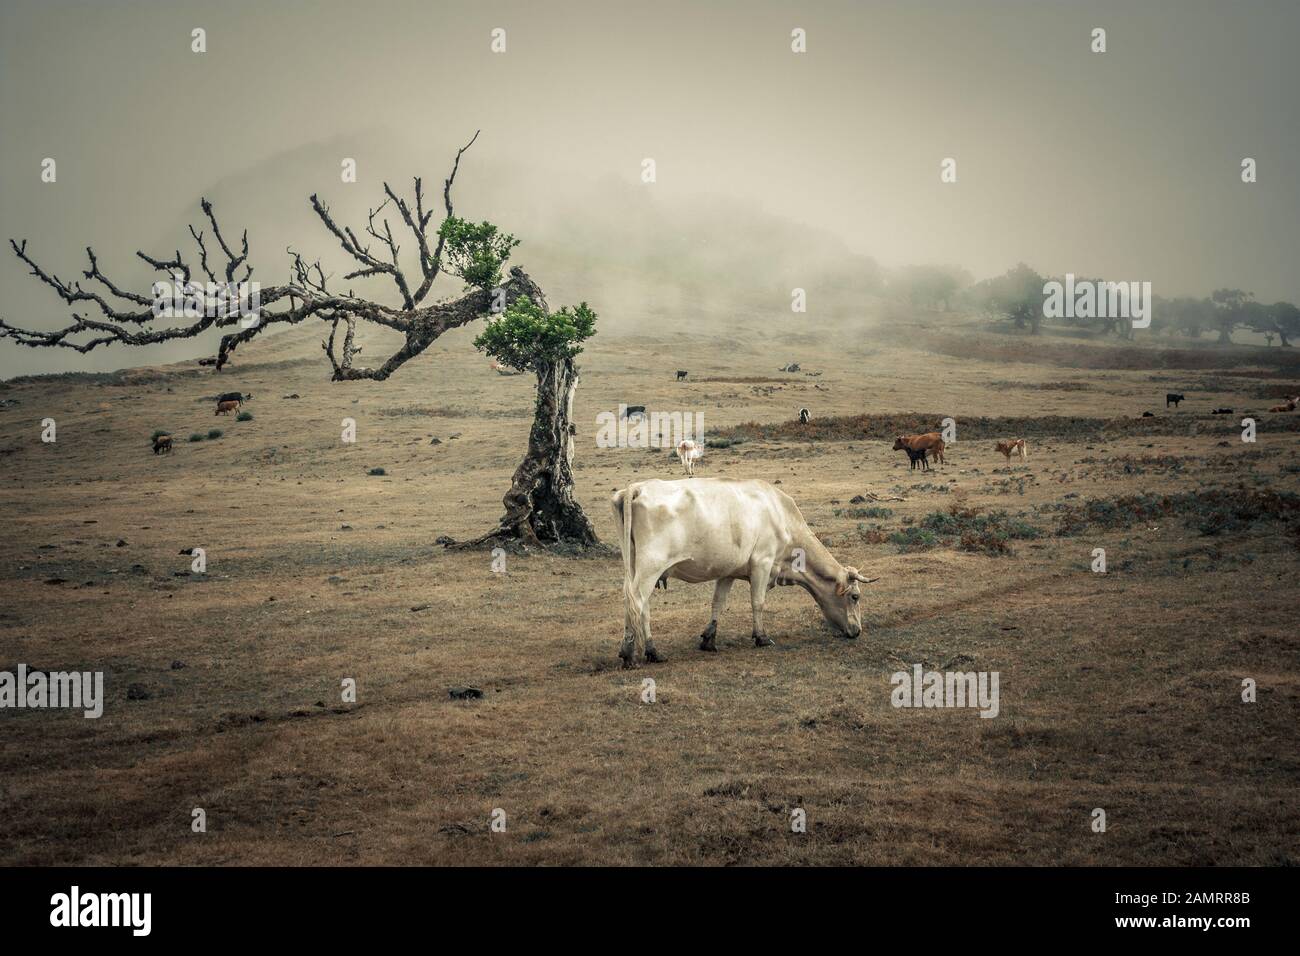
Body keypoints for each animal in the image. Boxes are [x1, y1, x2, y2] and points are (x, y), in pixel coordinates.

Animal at [608, 476, 873, 665]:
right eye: (855, 596)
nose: (858, 631)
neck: (780, 513)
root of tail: (638, 487)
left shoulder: (728, 571)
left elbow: (718, 603)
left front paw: (709, 639)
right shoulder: (762, 562)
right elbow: (758, 602)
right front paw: (761, 637)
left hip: (635, 567)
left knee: (637, 605)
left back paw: (651, 651)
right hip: (651, 566)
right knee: (637, 602)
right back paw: (632, 652)